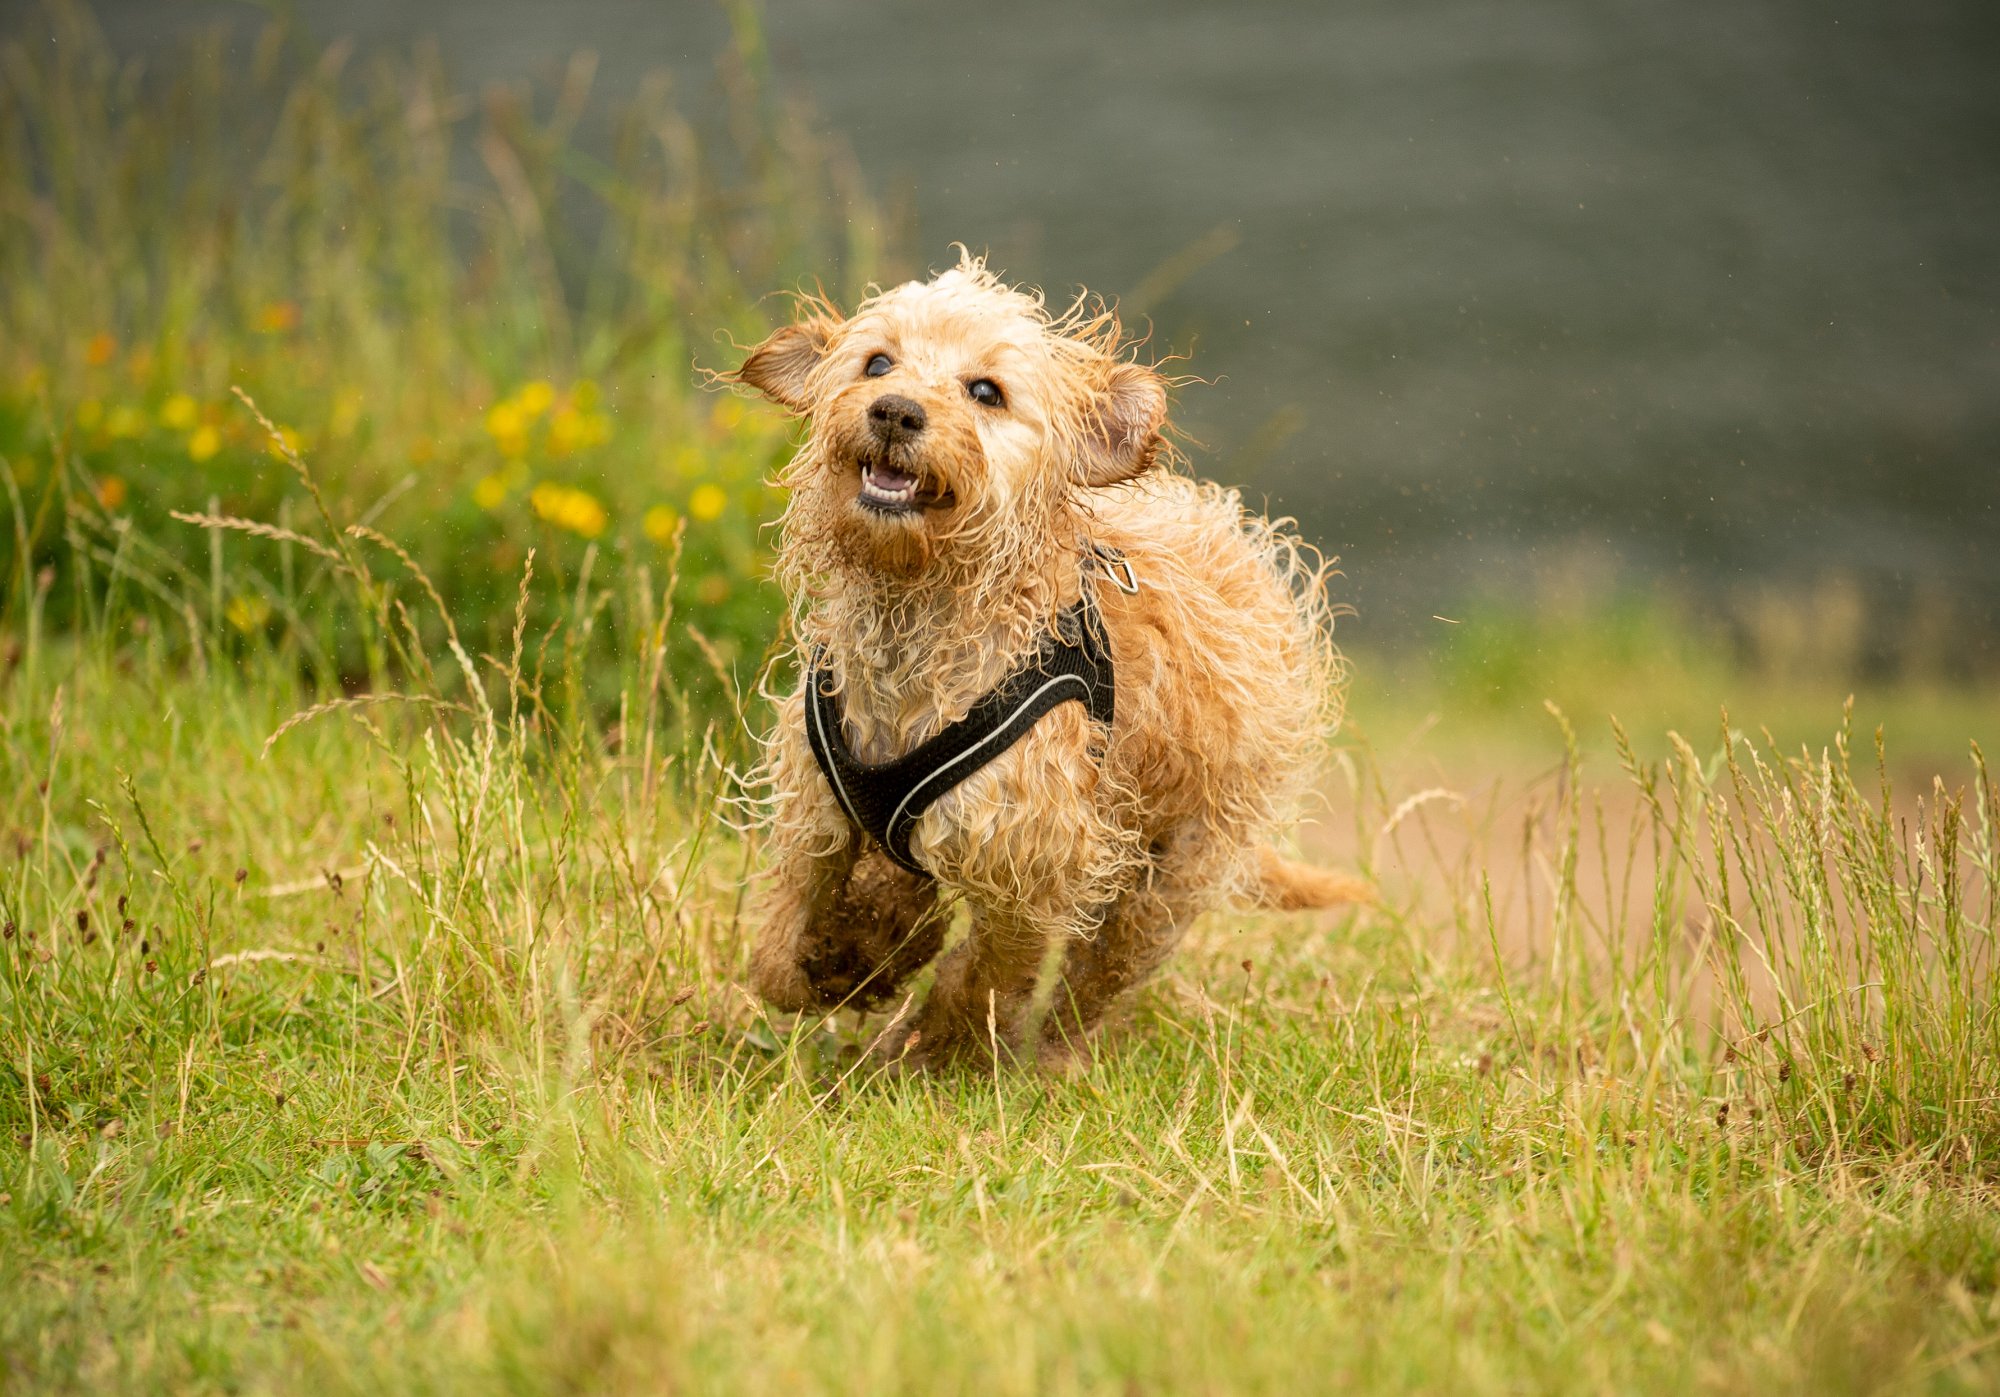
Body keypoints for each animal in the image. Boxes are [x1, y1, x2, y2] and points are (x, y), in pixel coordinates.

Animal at [744, 256, 1368, 1072]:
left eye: (986, 392)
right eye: (877, 362)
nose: (895, 411)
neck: (919, 618)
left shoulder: (1034, 860)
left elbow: (980, 976)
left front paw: (934, 1046)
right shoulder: (820, 806)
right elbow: (782, 949)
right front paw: (851, 956)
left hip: (1174, 867)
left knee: (1102, 970)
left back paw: (1051, 1053)